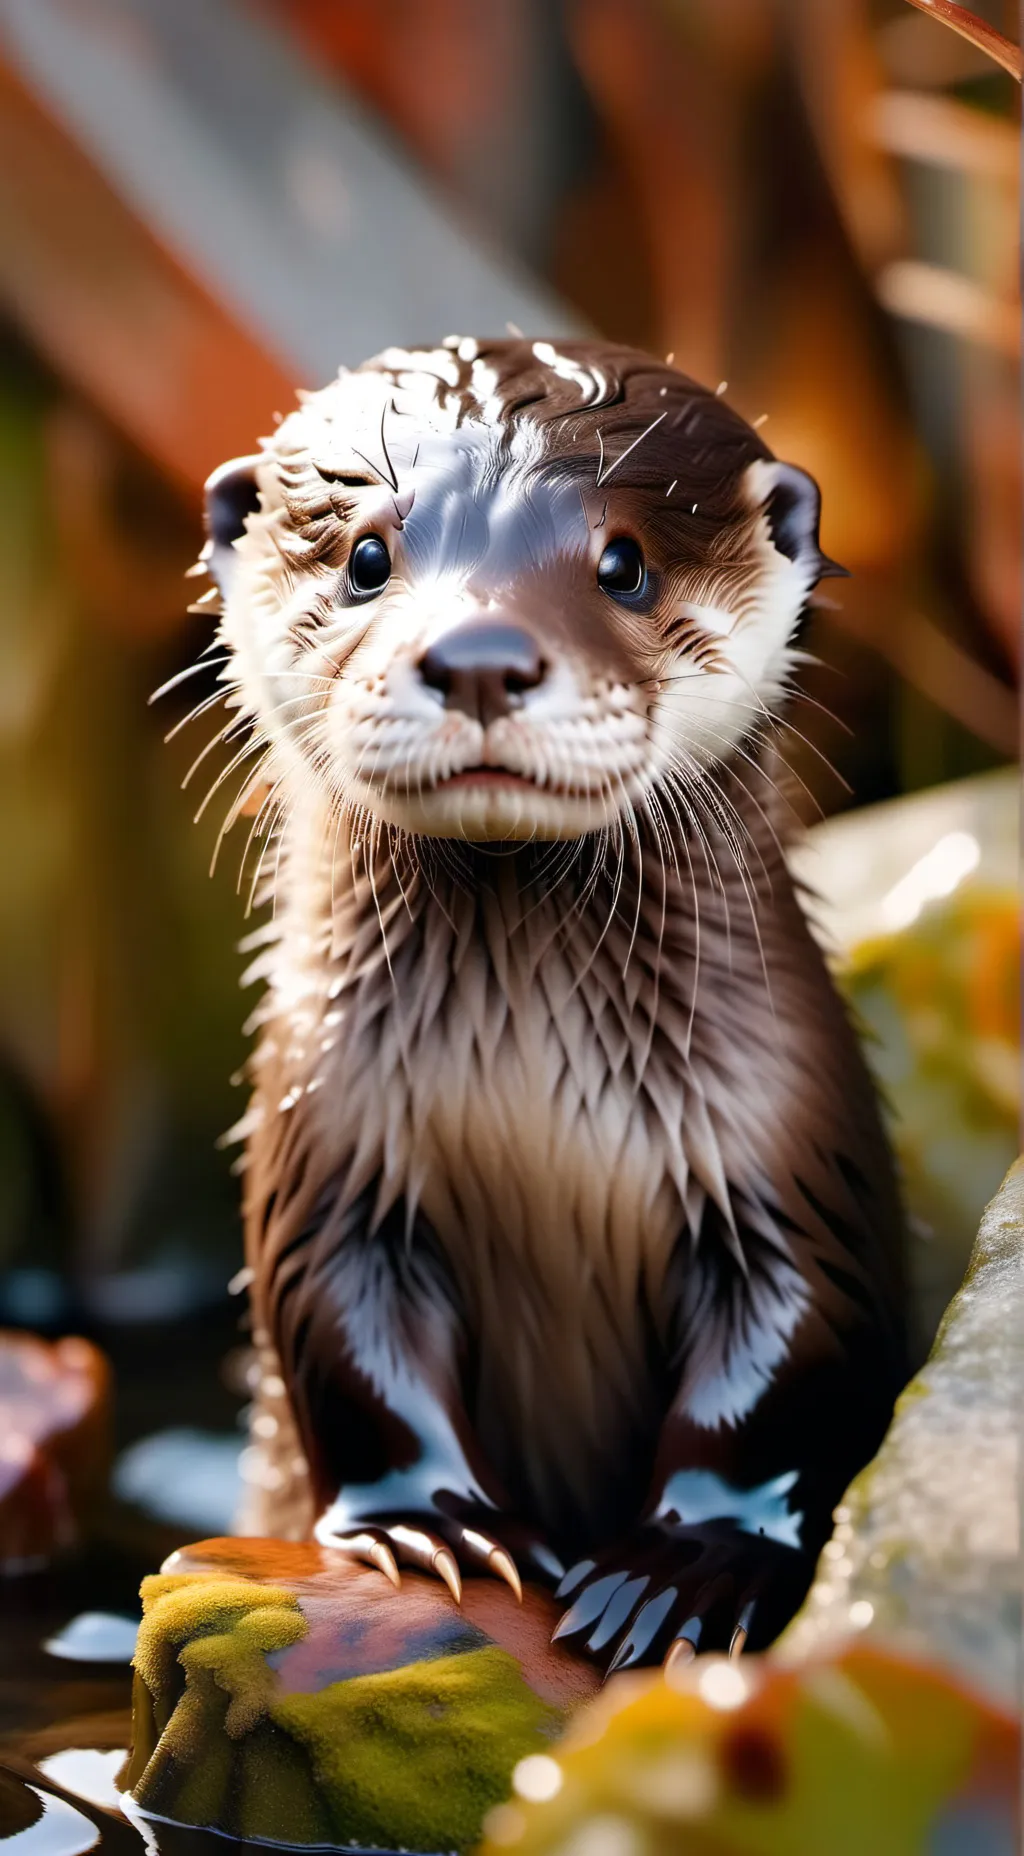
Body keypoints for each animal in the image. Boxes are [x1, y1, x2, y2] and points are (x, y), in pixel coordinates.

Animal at [190, 337, 906, 1672]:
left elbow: (787, 1353)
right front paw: (435, 1522)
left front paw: (680, 1560)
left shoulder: (785, 1134)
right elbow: (342, 1336)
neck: (535, 1101)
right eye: (366, 555)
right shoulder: (326, 1137)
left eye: (623, 562)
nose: (479, 654)